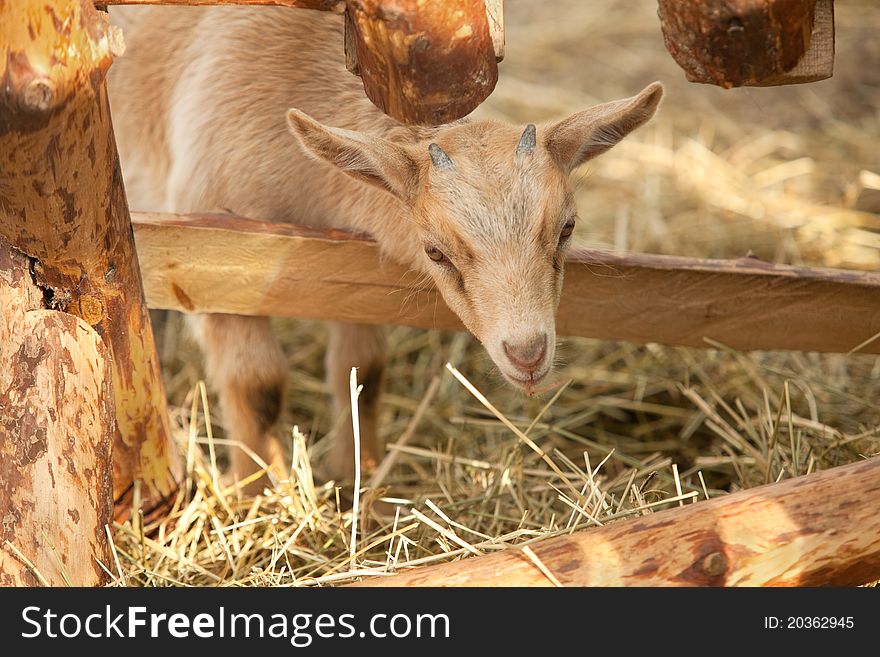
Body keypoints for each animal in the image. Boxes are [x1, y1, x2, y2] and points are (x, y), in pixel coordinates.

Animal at [108, 6, 660, 486]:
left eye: (566, 228)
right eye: (435, 251)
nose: (527, 354)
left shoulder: (353, 270)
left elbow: (361, 374)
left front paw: (359, 473)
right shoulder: (213, 262)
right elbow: (257, 385)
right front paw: (257, 492)